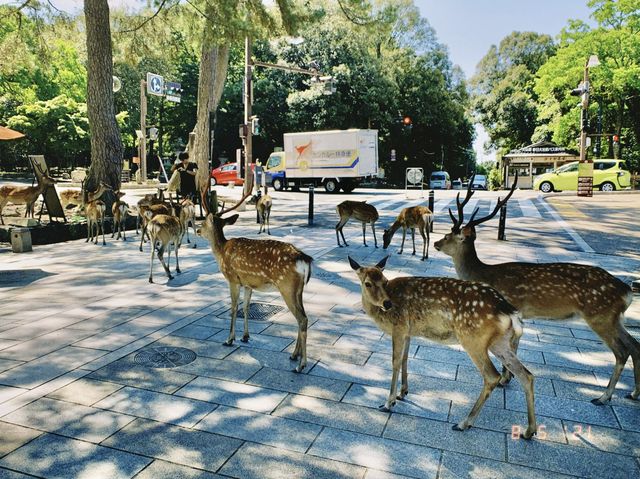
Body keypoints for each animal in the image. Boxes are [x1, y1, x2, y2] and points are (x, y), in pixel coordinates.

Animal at [198, 193, 312, 374]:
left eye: (202, 222)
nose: (196, 229)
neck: (221, 252)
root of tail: (305, 259)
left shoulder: (232, 279)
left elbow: (233, 308)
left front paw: (229, 339)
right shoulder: (248, 284)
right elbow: (245, 307)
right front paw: (245, 336)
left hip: (287, 287)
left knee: (302, 319)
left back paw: (301, 365)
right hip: (298, 290)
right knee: (303, 317)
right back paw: (294, 355)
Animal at [348, 256, 536, 440]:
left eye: (385, 281)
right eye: (368, 283)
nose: (387, 303)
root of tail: (510, 313)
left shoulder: (399, 327)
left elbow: (395, 362)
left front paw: (388, 403)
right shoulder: (408, 331)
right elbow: (405, 359)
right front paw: (403, 393)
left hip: (472, 339)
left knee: (492, 376)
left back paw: (463, 423)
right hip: (499, 343)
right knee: (526, 374)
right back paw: (528, 431)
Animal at [432, 174, 636, 406]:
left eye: (449, 235)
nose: (436, 243)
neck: (484, 274)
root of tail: (626, 290)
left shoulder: (513, 308)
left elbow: (513, 346)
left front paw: (505, 378)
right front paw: (508, 377)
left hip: (600, 316)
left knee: (622, 352)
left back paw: (603, 397)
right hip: (614, 318)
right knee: (634, 345)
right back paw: (632, 393)